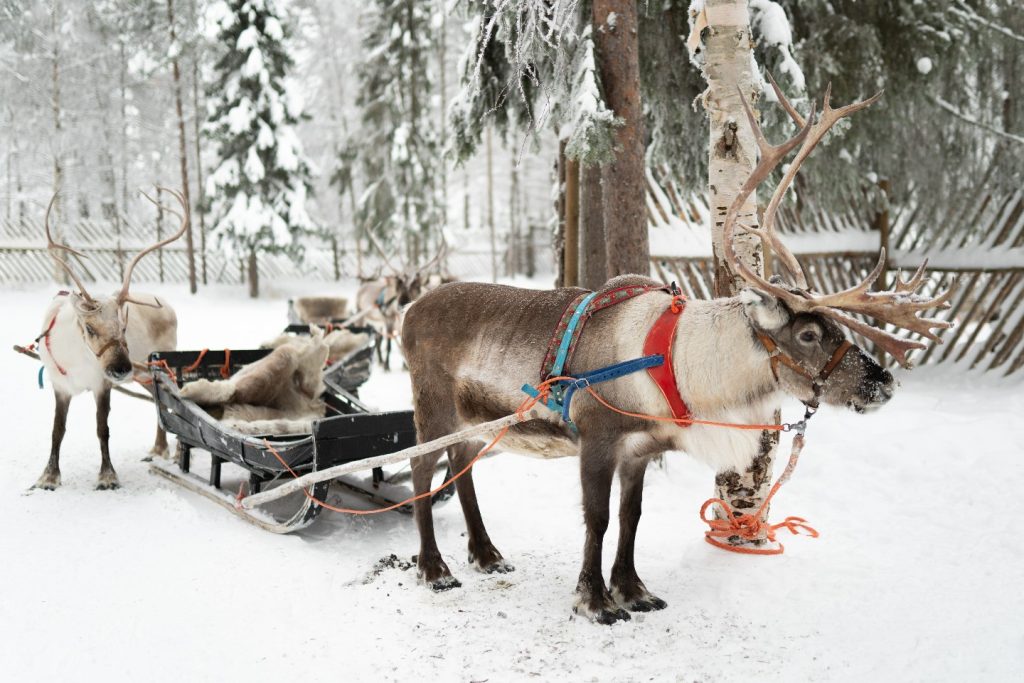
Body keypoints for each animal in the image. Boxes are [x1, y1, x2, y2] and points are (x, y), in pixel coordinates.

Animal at [33, 189, 188, 491]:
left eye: (123, 326)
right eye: (90, 327)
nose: (121, 368)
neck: (77, 359)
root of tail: (169, 306)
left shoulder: (101, 384)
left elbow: (102, 429)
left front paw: (107, 476)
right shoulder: (60, 386)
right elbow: (57, 430)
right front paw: (48, 477)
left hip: (160, 363)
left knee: (173, 399)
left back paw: (176, 453)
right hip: (143, 376)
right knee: (160, 402)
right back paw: (158, 449)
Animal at [401, 83, 953, 624]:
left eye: (836, 327)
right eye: (810, 334)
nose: (884, 381)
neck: (679, 365)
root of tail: (408, 311)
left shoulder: (641, 450)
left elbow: (631, 518)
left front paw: (633, 590)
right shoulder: (598, 439)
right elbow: (597, 519)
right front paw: (594, 600)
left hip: (475, 421)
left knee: (461, 466)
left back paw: (486, 554)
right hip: (433, 408)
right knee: (423, 470)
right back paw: (435, 568)